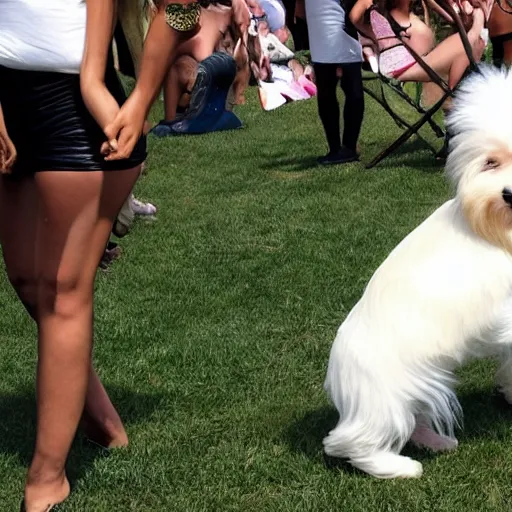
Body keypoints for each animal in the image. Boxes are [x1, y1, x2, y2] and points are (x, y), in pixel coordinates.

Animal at [326, 66, 512, 478]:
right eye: (491, 162)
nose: (508, 193)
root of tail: (338, 372)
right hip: (386, 401)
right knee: (351, 443)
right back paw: (400, 467)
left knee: (415, 424)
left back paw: (439, 442)